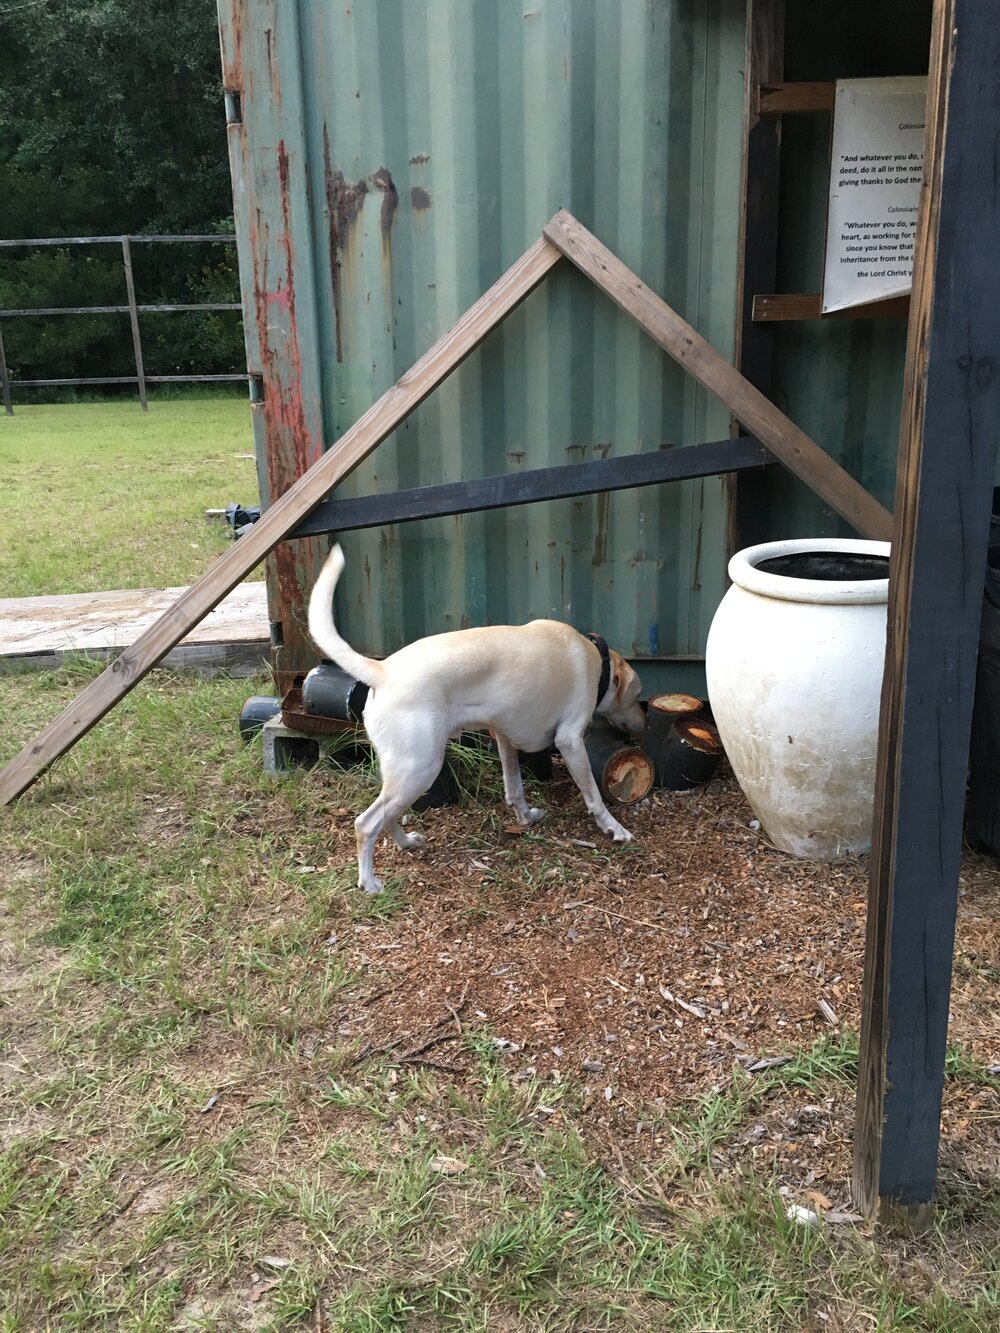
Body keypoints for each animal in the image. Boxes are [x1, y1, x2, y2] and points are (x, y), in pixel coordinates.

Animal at [309, 541, 645, 895]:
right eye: (637, 695)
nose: (644, 722)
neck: (597, 658)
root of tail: (383, 670)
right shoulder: (570, 742)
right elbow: (593, 795)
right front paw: (614, 827)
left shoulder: (505, 739)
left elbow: (515, 789)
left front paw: (525, 818)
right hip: (420, 769)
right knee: (367, 822)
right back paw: (369, 881)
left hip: (404, 774)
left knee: (387, 816)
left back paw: (405, 843)